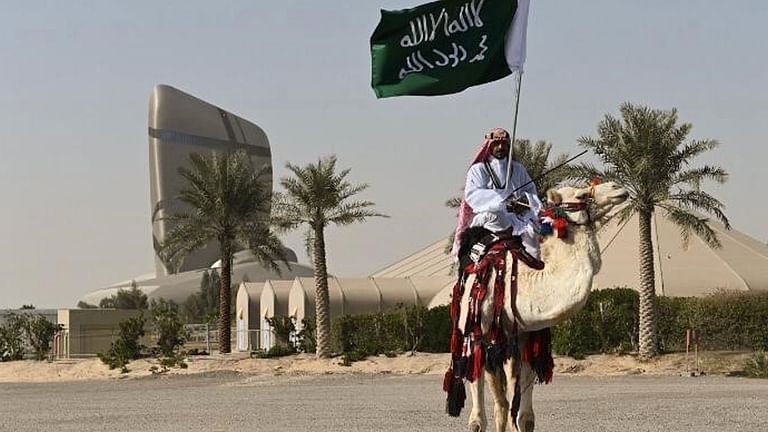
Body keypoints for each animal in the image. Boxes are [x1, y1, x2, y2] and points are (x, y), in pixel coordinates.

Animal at [457, 181, 629, 432]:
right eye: (582, 195)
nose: (618, 187)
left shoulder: (527, 335)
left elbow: (525, 416)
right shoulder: (489, 334)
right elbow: (490, 413)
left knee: (502, 402)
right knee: (490, 402)